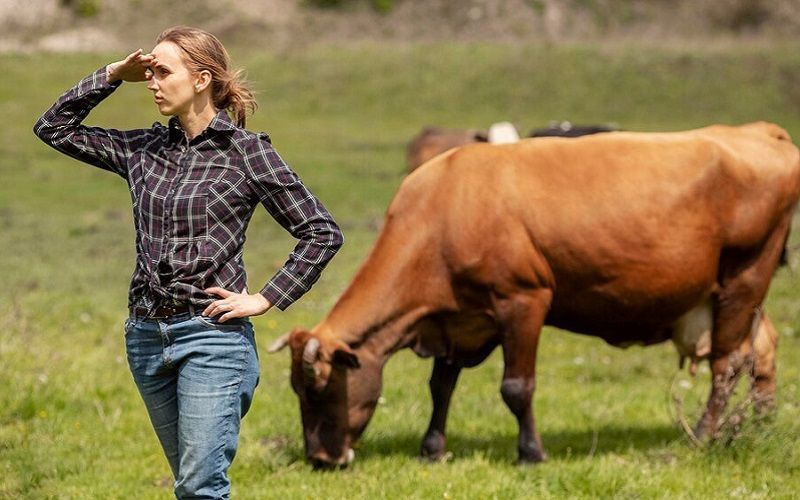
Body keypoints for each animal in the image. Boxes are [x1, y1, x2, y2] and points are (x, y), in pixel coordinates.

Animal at [270, 122, 800, 468]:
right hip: (731, 295)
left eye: (319, 388)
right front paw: (432, 449)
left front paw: (530, 453)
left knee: (728, 363)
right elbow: (441, 386)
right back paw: (758, 423)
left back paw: (704, 438)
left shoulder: (523, 300)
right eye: (294, 389)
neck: (444, 211)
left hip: (745, 277)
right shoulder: (456, 318)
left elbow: (516, 387)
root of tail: (759, 130)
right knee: (760, 350)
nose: (320, 458)